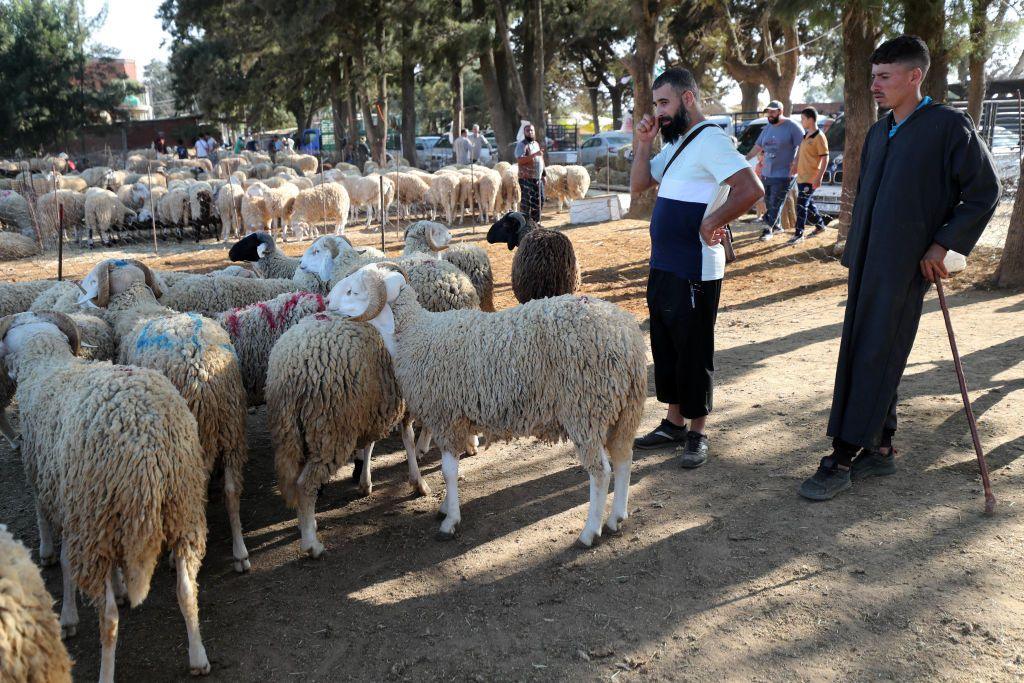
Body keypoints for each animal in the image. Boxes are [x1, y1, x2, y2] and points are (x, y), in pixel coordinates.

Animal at [0, 313, 211, 679]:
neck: (47, 364)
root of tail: (145, 444)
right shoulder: (100, 516)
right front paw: (122, 586)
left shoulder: (57, 491)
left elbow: (59, 549)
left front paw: (67, 613)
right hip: (181, 506)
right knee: (186, 590)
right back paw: (198, 656)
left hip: (96, 519)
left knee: (109, 618)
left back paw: (106, 672)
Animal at [76, 260, 251, 573]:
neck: (137, 306)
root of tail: (204, 372)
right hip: (233, 426)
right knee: (232, 490)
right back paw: (240, 552)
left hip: (193, 438)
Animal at [264, 311, 428, 561]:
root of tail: (289, 369)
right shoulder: (399, 400)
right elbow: (407, 438)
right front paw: (417, 481)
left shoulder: (369, 407)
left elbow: (370, 445)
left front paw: (365, 481)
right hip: (331, 429)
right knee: (305, 484)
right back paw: (312, 544)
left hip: (292, 432)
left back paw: (306, 524)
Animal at [331, 264, 643, 548]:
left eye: (353, 291)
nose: (327, 303)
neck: (414, 335)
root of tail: (627, 337)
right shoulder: (457, 419)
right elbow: (452, 467)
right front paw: (446, 507)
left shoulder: (446, 417)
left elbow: (448, 471)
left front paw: (450, 521)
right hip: (622, 411)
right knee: (624, 459)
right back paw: (616, 518)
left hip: (586, 409)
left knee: (601, 472)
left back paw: (590, 532)